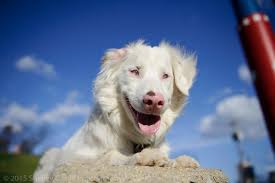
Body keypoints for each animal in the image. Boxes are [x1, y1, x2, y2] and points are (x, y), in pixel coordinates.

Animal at [33, 40, 199, 182]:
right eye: (134, 71)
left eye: (165, 76)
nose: (154, 102)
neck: (136, 139)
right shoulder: (74, 158)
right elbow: (109, 155)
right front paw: (144, 157)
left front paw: (179, 161)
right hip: (51, 154)